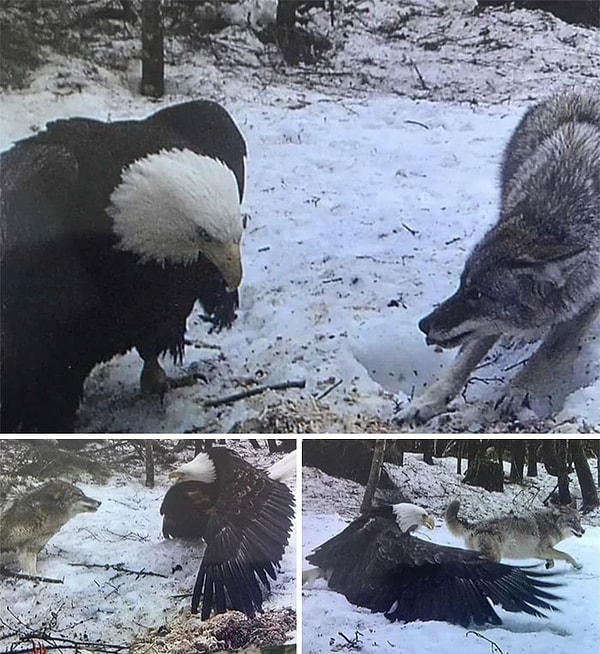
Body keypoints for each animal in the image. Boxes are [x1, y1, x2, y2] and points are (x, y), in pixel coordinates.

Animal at [398, 92, 600, 426]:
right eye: (462, 286)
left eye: (478, 294)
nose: (423, 325)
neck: (552, 217)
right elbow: (462, 362)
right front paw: (425, 402)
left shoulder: (585, 306)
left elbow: (546, 355)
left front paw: (514, 392)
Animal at [448, 502, 584, 568]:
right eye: (571, 521)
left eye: (579, 520)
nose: (583, 531)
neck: (552, 524)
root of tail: (474, 525)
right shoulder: (544, 550)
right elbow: (567, 555)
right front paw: (577, 565)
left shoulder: (537, 552)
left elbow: (552, 560)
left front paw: (549, 564)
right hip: (495, 558)